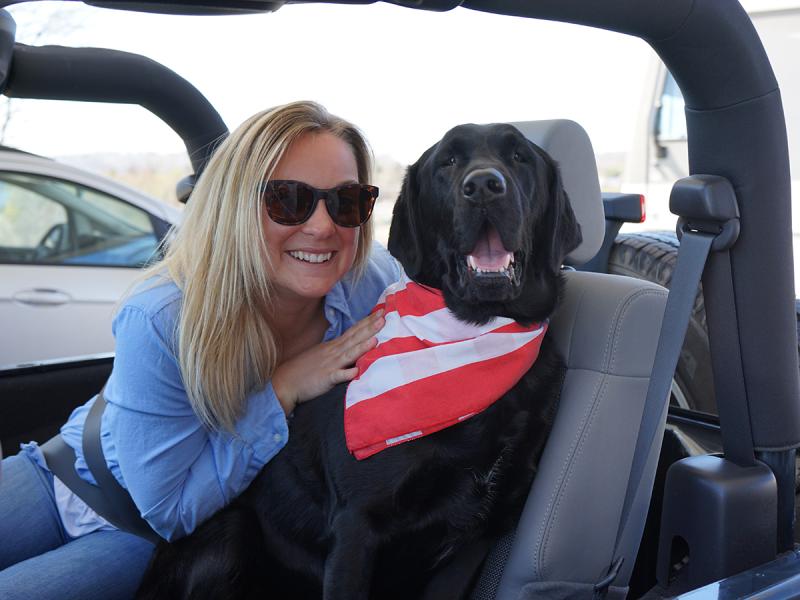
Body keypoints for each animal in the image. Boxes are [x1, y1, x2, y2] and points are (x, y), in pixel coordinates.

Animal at [136, 123, 580, 600]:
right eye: (447, 162)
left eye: (519, 157)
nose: (483, 186)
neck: (472, 334)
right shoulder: (357, 523)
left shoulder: (477, 536)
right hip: (230, 533)